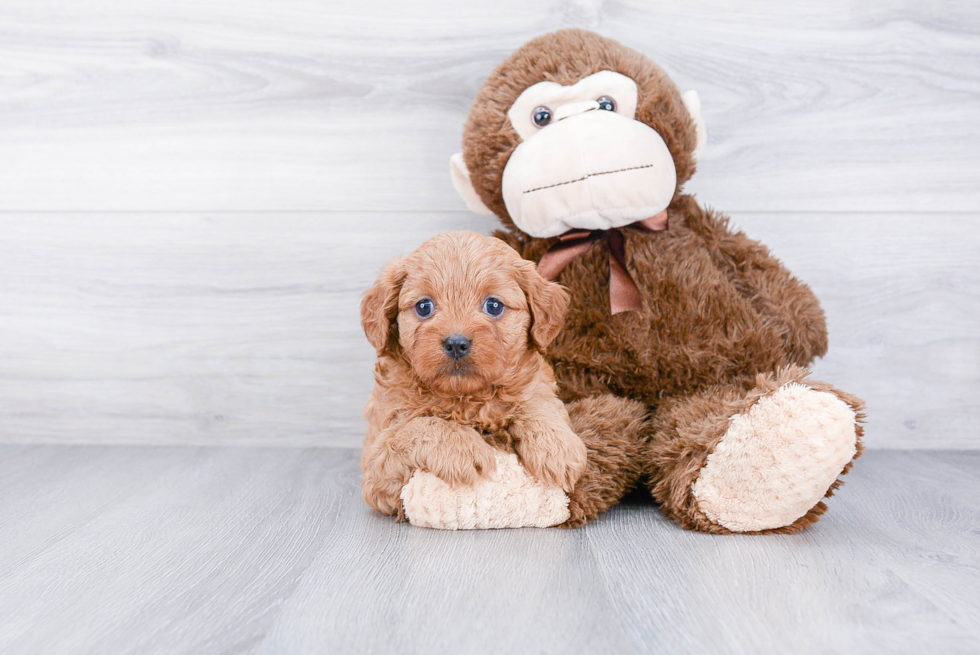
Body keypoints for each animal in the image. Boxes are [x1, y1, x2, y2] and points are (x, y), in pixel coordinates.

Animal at [360, 231, 588, 516]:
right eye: (424, 307)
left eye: (493, 305)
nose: (456, 343)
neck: (464, 399)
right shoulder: (376, 474)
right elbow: (418, 426)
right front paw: (462, 446)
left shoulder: (534, 382)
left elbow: (537, 402)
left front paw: (556, 448)